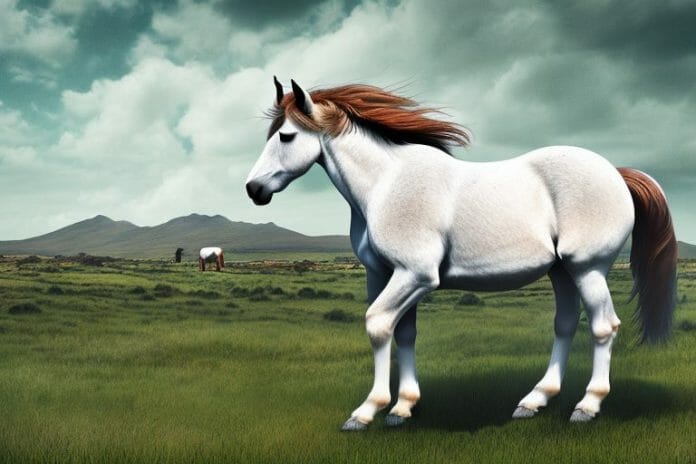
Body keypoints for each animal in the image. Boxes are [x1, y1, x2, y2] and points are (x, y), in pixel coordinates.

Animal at [245, 77, 677, 431]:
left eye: (286, 136)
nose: (253, 189)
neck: (386, 184)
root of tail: (616, 172)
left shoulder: (415, 275)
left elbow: (378, 325)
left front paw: (368, 411)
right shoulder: (384, 273)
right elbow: (404, 332)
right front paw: (403, 408)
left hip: (589, 269)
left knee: (604, 327)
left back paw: (587, 406)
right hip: (561, 271)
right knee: (566, 324)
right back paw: (534, 401)